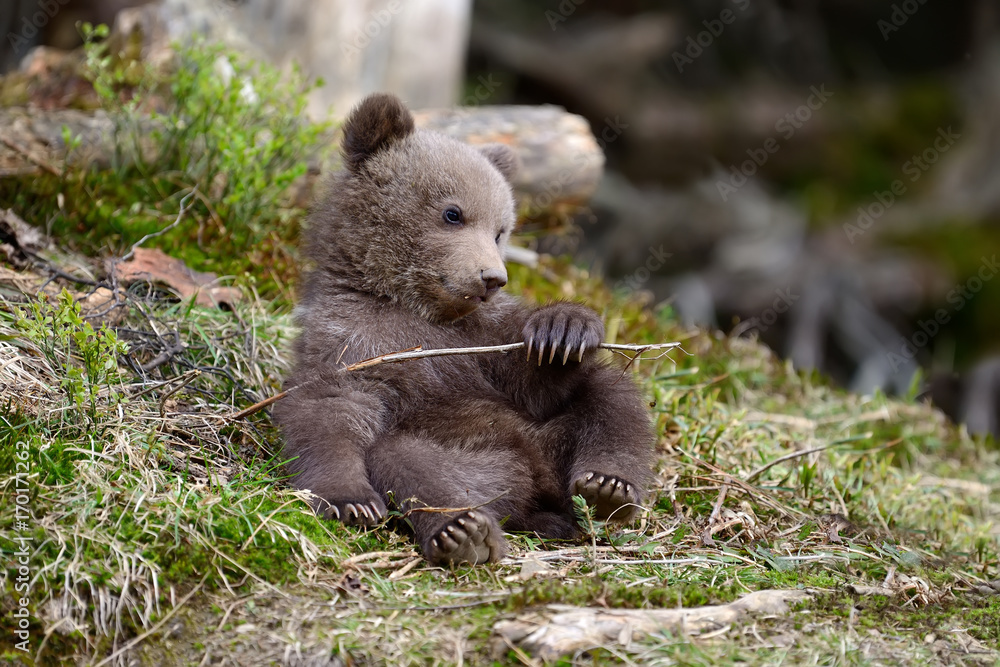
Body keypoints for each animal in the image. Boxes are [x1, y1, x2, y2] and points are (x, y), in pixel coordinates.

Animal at [273, 93, 655, 566]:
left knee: (611, 397)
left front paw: (564, 327)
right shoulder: (353, 340)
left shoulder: (482, 341)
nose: (493, 278)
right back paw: (463, 530)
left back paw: (608, 487)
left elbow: (536, 379)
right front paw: (351, 500)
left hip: (548, 437)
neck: (413, 306)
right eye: (452, 213)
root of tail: (536, 480)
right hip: (470, 457)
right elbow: (328, 410)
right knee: (407, 460)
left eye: (500, 230)